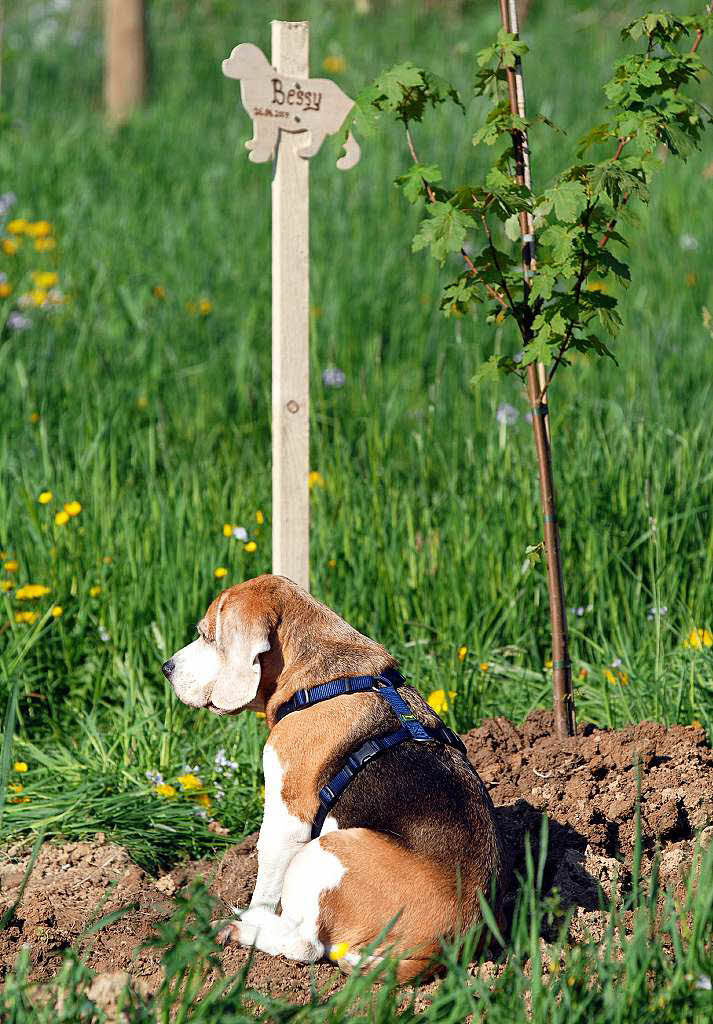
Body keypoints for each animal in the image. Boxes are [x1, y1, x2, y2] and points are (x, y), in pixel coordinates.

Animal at [162, 573, 506, 978]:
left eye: (207, 635)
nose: (166, 667)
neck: (322, 678)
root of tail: (441, 949)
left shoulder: (287, 816)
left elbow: (265, 882)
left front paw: (253, 912)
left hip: (324, 853)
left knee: (306, 945)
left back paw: (242, 928)